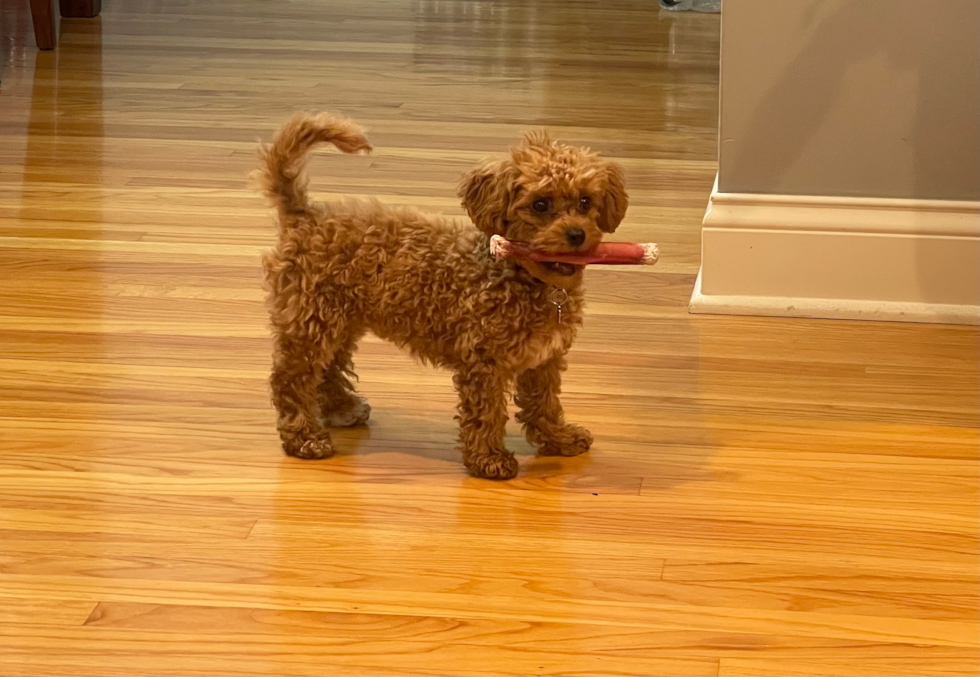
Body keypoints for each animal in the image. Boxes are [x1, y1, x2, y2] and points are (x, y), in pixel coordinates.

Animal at [255, 111, 628, 478]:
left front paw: (558, 438)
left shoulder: (543, 360)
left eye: (585, 201)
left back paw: (341, 408)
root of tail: (305, 216)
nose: (577, 234)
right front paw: (489, 459)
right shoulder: (483, 362)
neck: (522, 278)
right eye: (539, 204)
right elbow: (486, 413)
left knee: (328, 369)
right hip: (310, 321)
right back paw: (304, 438)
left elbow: (545, 404)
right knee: (290, 380)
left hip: (339, 321)